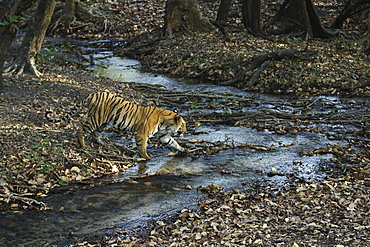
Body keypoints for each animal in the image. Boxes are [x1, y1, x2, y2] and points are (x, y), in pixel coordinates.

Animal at [47, 91, 188, 159]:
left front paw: (183, 149)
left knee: (95, 134)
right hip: (95, 119)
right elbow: (142, 148)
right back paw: (83, 146)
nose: (186, 131)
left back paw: (102, 144)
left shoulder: (163, 135)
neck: (165, 124)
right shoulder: (141, 134)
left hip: (102, 122)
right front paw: (147, 157)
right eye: (183, 125)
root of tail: (92, 94)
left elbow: (173, 142)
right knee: (81, 130)